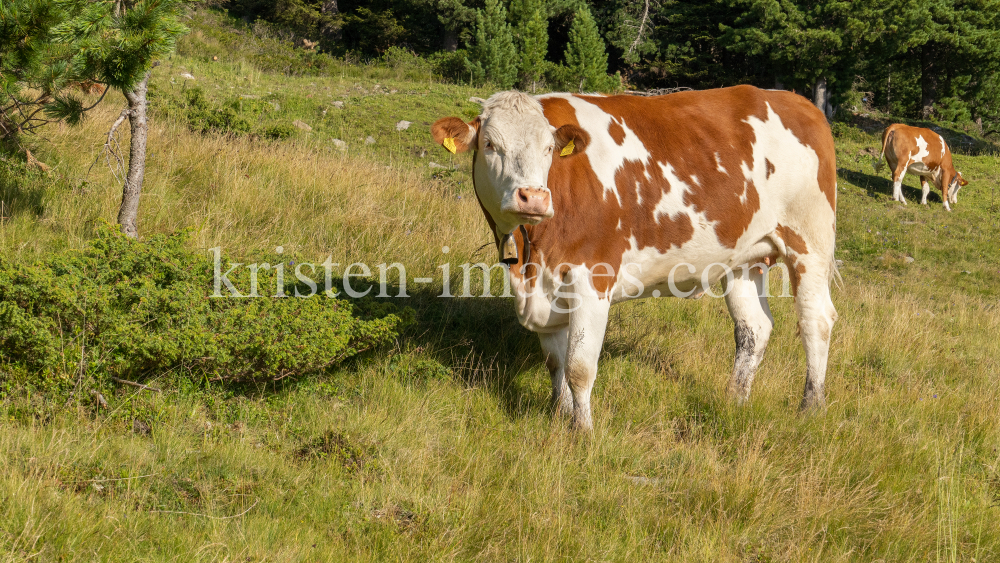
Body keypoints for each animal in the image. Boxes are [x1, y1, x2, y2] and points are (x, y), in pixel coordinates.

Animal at [434, 87, 840, 432]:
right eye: (489, 144)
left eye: (549, 148)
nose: (533, 197)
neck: (531, 258)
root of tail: (797, 101)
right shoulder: (545, 289)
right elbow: (556, 363)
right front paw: (559, 418)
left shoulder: (593, 277)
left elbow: (579, 367)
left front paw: (583, 433)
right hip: (744, 258)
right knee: (753, 328)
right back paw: (734, 401)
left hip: (810, 240)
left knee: (816, 319)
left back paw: (811, 408)